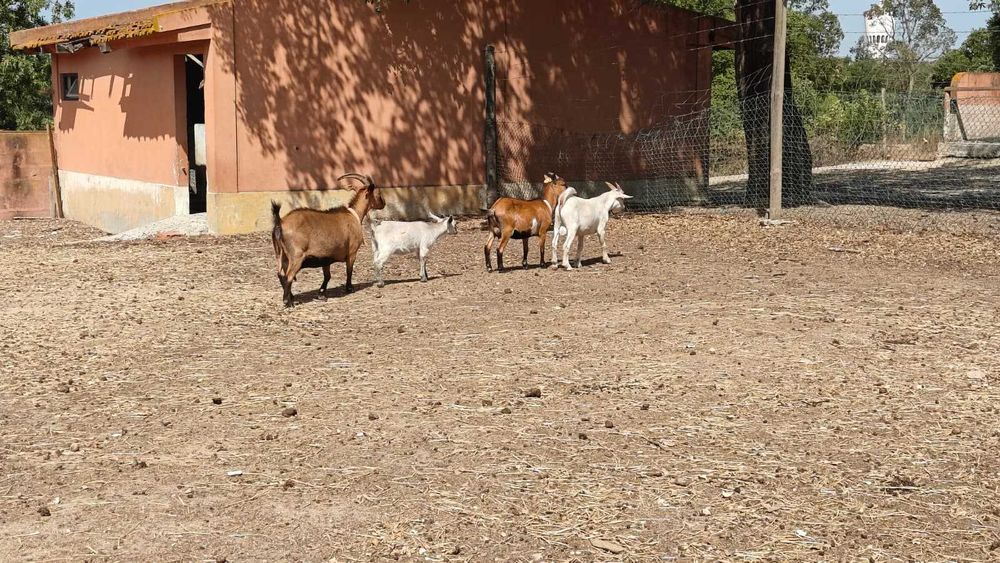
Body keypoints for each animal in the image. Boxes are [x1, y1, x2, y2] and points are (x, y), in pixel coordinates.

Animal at [271, 173, 386, 307]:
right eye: (378, 192)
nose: (384, 203)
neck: (354, 215)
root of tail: (280, 223)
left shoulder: (325, 258)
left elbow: (327, 276)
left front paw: (321, 294)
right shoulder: (352, 252)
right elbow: (349, 270)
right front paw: (349, 288)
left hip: (281, 255)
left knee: (281, 274)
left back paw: (292, 297)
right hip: (296, 256)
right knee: (289, 276)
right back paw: (288, 301)